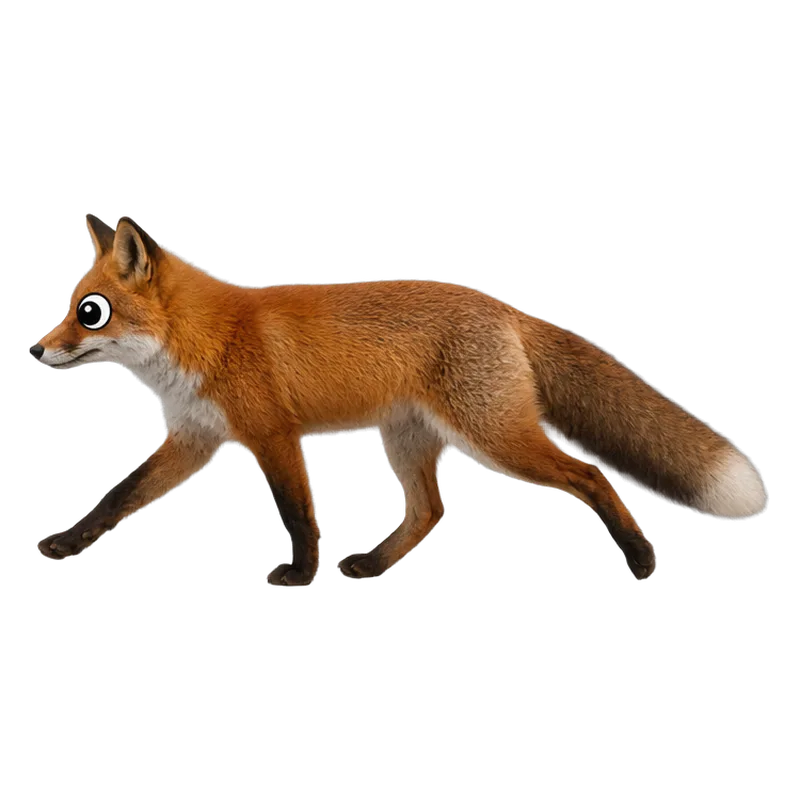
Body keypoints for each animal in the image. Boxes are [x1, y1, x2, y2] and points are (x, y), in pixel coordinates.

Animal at [30, 213, 767, 584]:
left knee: (590, 476)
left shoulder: (273, 435)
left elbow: (299, 513)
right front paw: (66, 543)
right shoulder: (192, 438)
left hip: (498, 440)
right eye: (68, 306)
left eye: (89, 313)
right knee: (429, 511)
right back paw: (376, 564)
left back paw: (640, 559)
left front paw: (301, 574)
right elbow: (118, 498)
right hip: (408, 439)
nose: (35, 350)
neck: (202, 339)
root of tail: (503, 308)